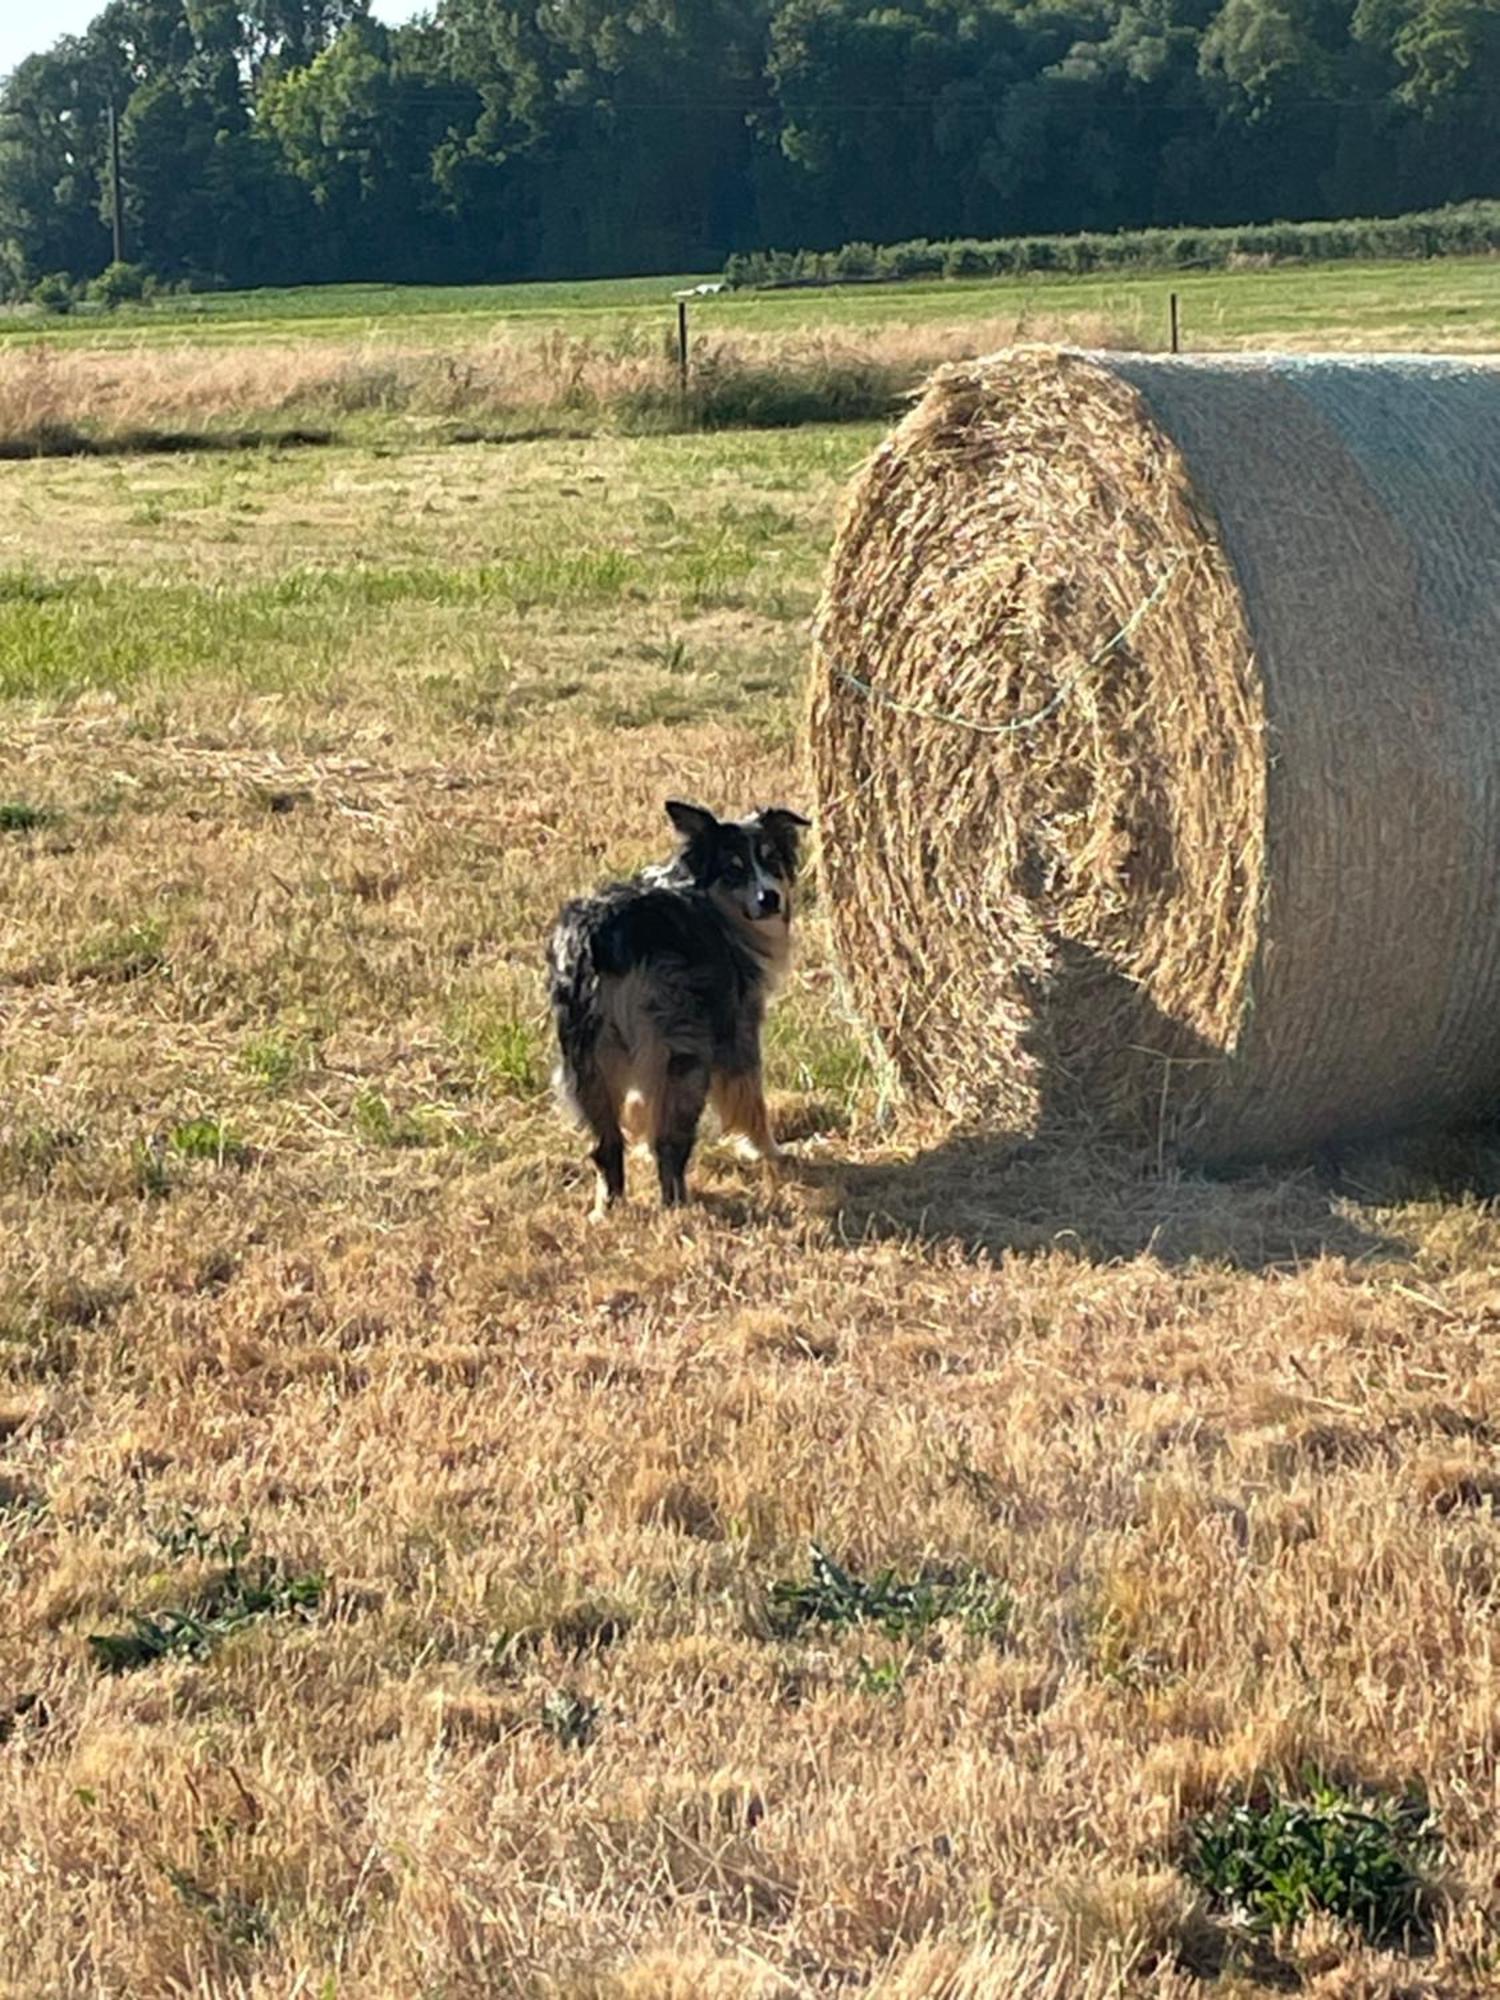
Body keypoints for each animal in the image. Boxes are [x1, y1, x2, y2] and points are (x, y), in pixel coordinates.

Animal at [548, 800, 812, 1208]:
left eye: (771, 861)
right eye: (733, 869)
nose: (770, 898)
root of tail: (608, 936)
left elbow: (641, 1105)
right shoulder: (738, 1026)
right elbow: (750, 1098)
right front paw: (769, 1152)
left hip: (585, 1060)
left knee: (606, 1146)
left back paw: (608, 1209)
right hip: (684, 1054)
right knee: (670, 1142)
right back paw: (679, 1204)